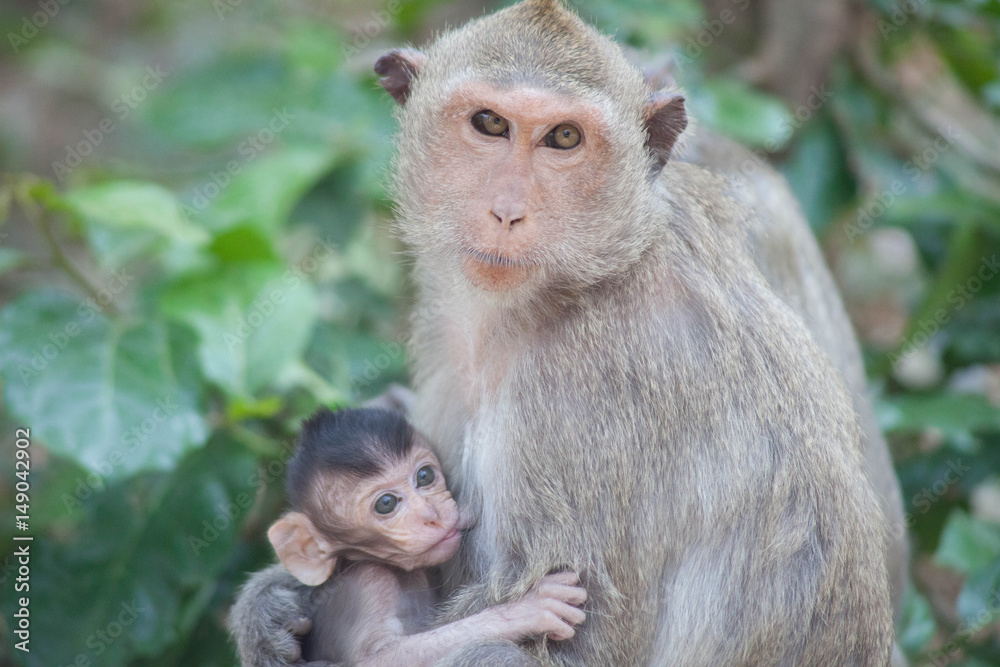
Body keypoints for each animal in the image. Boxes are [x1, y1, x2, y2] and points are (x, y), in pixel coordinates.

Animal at [270, 410, 588, 664]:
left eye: (424, 476)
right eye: (386, 503)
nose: (432, 514)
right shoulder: (370, 583)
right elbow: (378, 658)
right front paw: (527, 609)